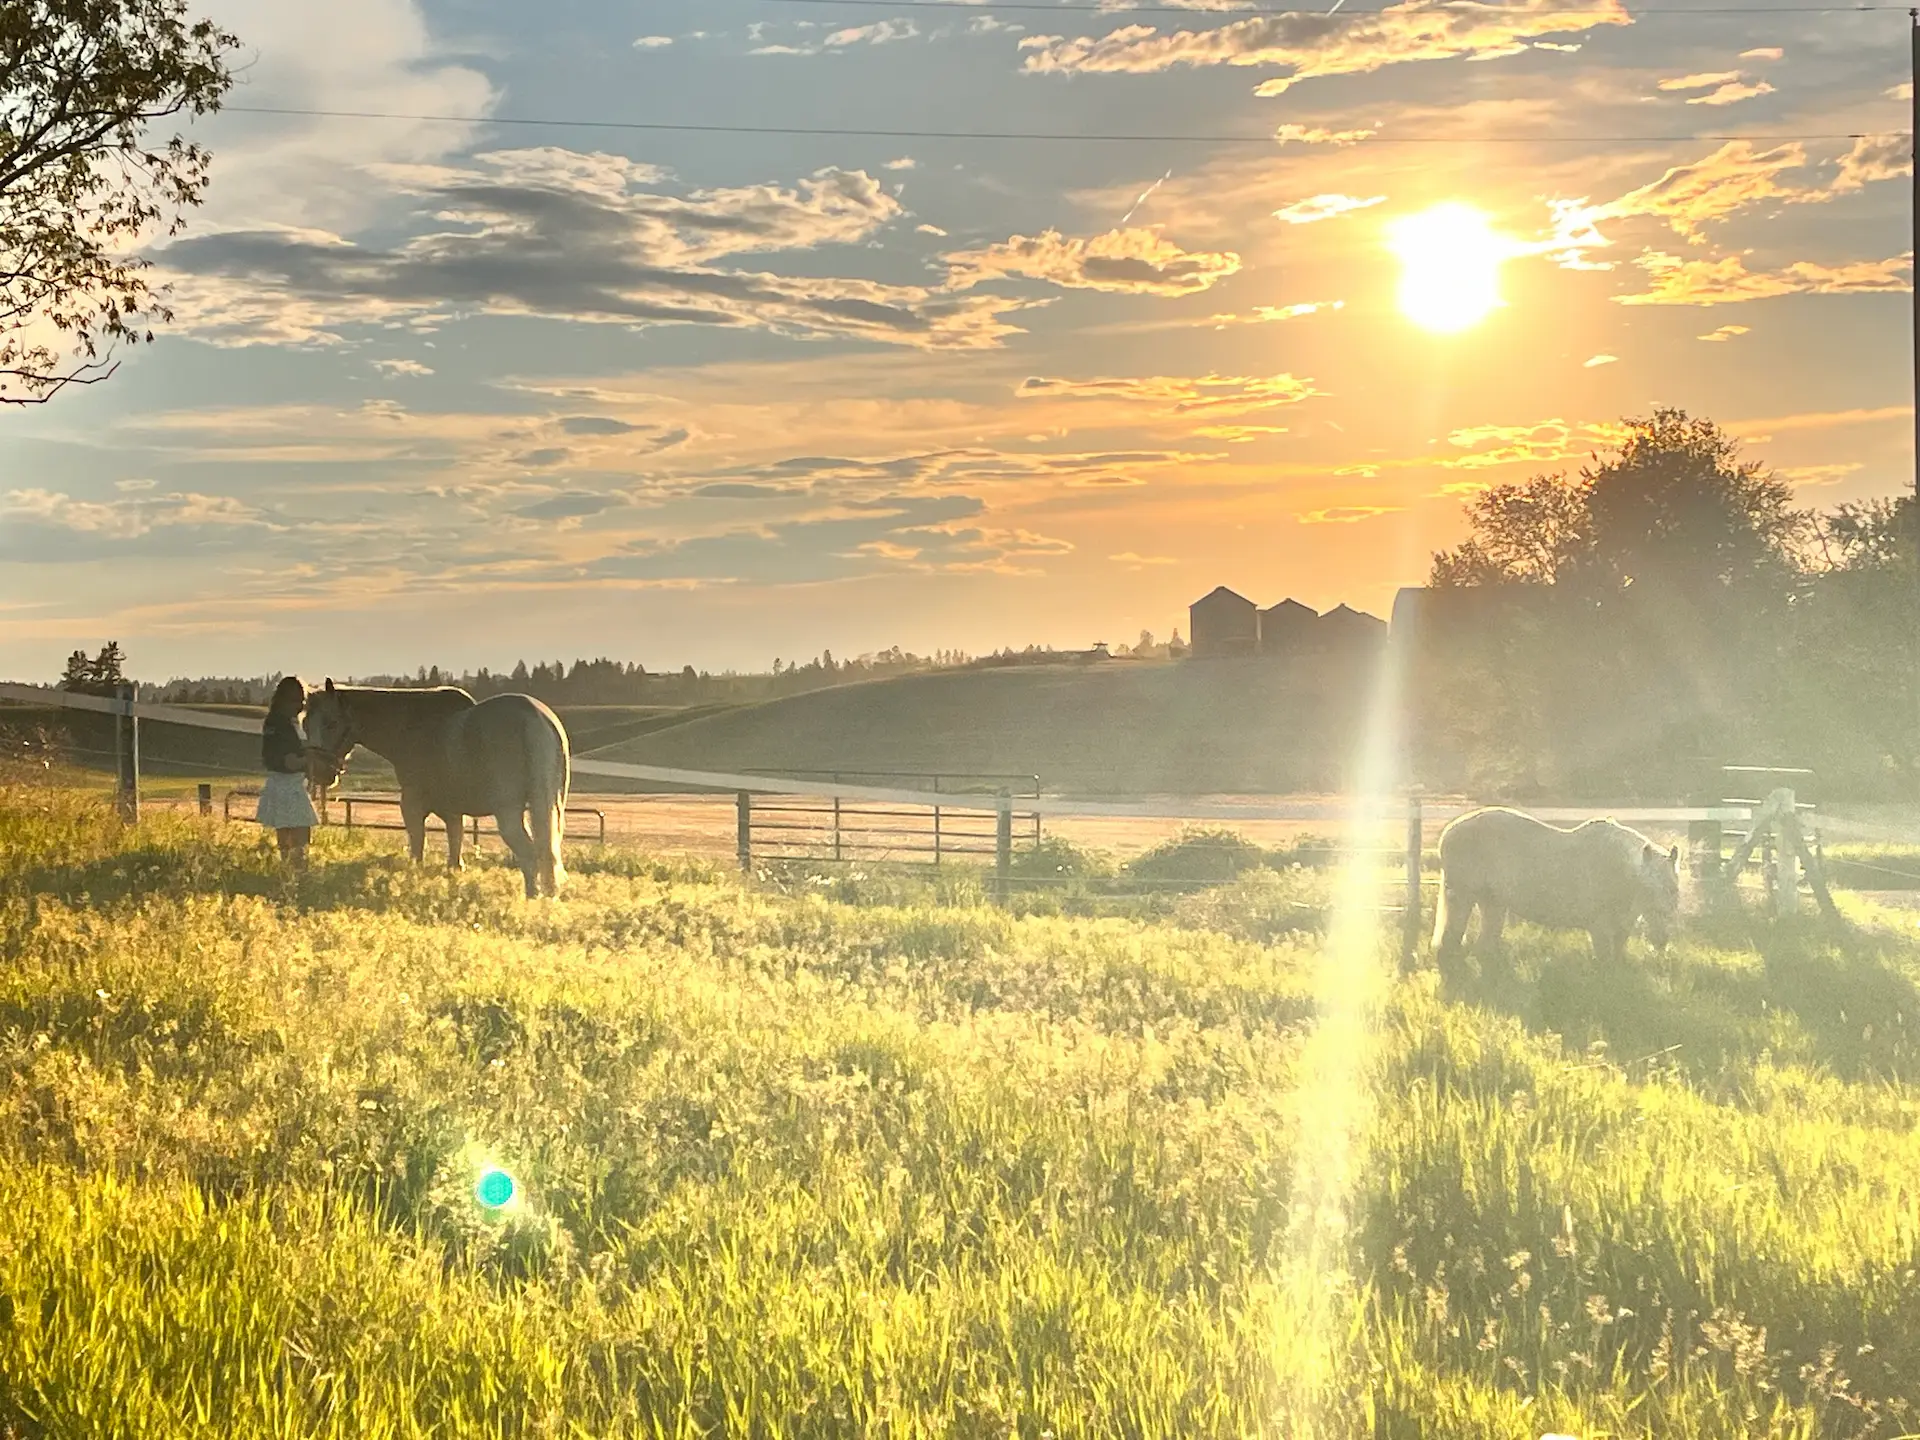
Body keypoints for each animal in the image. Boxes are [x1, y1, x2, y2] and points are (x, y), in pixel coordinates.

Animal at [303, 680, 571, 898]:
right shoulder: (453, 813)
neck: (414, 728)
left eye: (332, 723)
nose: (320, 772)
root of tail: (535, 718)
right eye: (305, 724)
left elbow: (418, 850)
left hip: (509, 813)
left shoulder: (411, 805)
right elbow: (454, 856)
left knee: (531, 855)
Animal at [1433, 807, 1680, 975]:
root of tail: (1448, 832)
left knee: (1484, 947)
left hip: (1493, 905)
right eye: (1649, 888)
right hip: (1463, 899)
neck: (1620, 871)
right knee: (1450, 942)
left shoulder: (1621, 928)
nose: (1661, 940)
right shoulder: (1599, 928)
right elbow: (1604, 964)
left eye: (1673, 889)